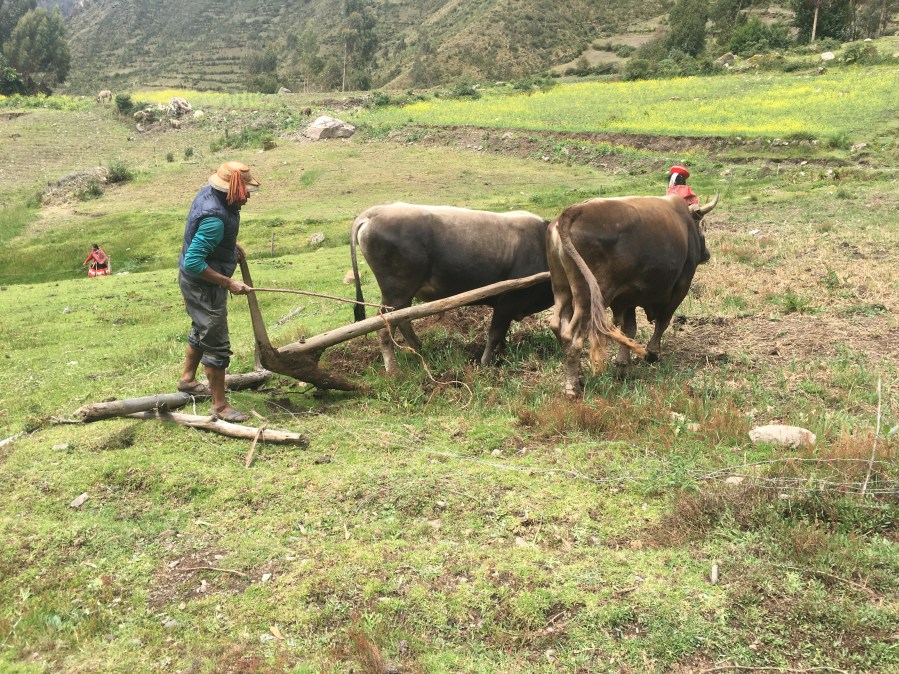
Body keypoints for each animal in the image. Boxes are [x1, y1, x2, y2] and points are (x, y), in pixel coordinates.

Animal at [350, 203, 554, 373]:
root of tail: (374, 212)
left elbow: (503, 333)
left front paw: (502, 354)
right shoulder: (508, 300)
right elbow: (495, 333)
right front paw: (486, 363)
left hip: (402, 296)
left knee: (402, 320)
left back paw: (420, 349)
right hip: (397, 291)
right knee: (385, 327)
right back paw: (394, 371)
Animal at [547, 193, 718, 397]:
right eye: (703, 227)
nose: (707, 254)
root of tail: (573, 211)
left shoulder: (628, 297)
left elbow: (629, 329)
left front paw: (623, 364)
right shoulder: (680, 287)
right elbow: (663, 322)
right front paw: (652, 353)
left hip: (562, 290)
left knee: (557, 326)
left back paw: (579, 376)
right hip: (589, 298)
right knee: (571, 337)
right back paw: (572, 387)